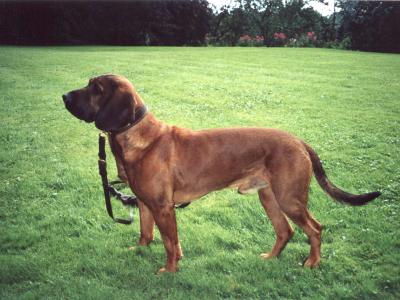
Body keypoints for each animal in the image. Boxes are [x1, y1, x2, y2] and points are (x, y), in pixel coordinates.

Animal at [63, 74, 382, 274]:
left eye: (96, 89)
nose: (64, 95)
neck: (139, 136)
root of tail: (299, 141)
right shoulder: (145, 203)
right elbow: (146, 233)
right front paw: (140, 251)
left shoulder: (164, 208)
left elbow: (169, 243)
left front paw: (170, 270)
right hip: (269, 198)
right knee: (285, 231)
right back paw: (270, 258)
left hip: (289, 199)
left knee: (315, 229)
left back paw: (312, 263)